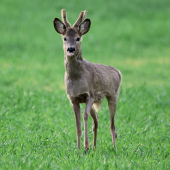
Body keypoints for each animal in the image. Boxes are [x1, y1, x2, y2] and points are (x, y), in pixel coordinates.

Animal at [53, 9, 121, 151]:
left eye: (78, 38)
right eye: (65, 38)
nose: (71, 49)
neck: (76, 78)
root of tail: (118, 71)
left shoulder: (89, 95)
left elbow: (84, 117)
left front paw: (86, 146)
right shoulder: (73, 98)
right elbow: (77, 123)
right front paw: (79, 149)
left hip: (113, 95)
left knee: (112, 125)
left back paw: (115, 149)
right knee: (97, 121)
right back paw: (95, 148)